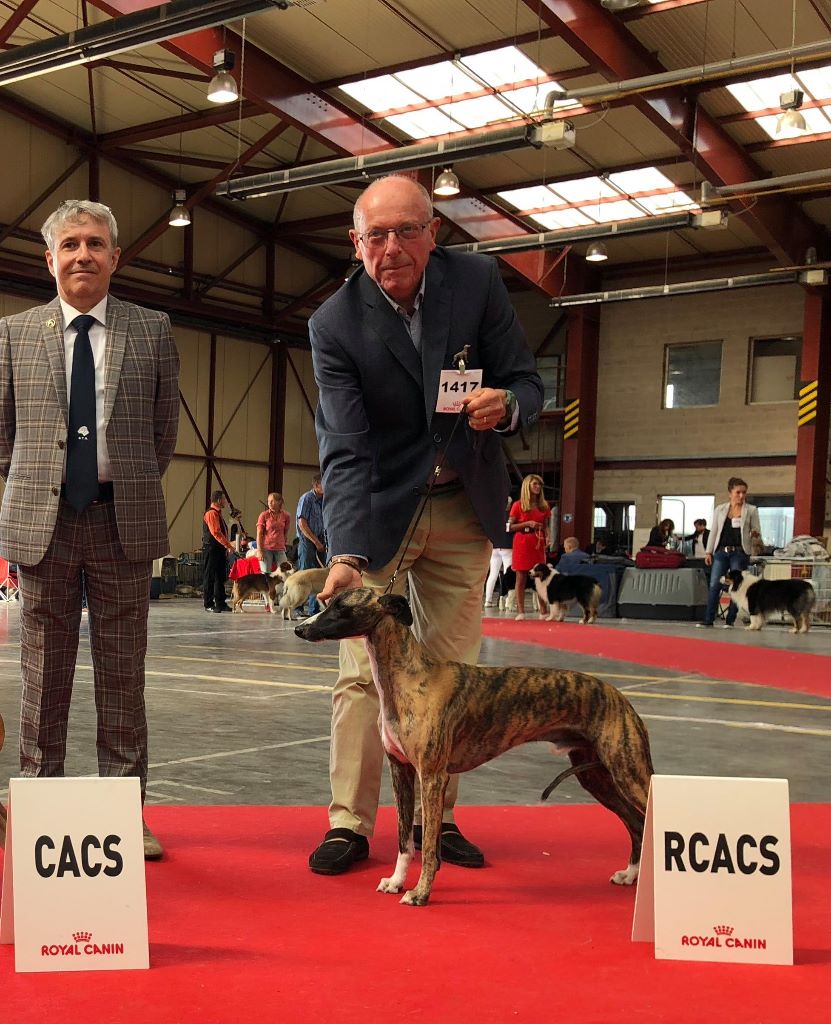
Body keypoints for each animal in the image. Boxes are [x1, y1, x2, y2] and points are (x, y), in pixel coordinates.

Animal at [294, 589, 650, 909]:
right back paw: (630, 875)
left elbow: (429, 848)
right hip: (597, 777)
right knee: (636, 823)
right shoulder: (401, 770)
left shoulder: (432, 777)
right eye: (329, 602)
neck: (409, 678)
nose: (300, 629)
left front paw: (420, 894)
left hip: (630, 775)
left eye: (342, 607)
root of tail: (620, 698)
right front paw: (396, 882)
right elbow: (404, 840)